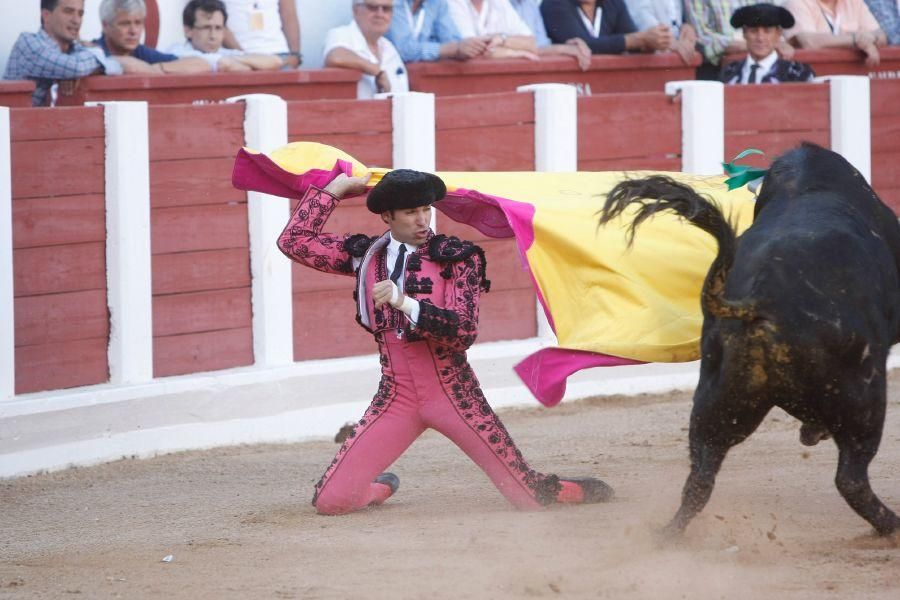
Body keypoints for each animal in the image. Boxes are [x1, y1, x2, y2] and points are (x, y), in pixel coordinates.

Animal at [596, 144, 900, 536]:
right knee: (851, 478)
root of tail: (759, 301)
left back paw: (667, 535)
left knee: (700, 478)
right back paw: (891, 526)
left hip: (718, 403)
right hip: (864, 398)